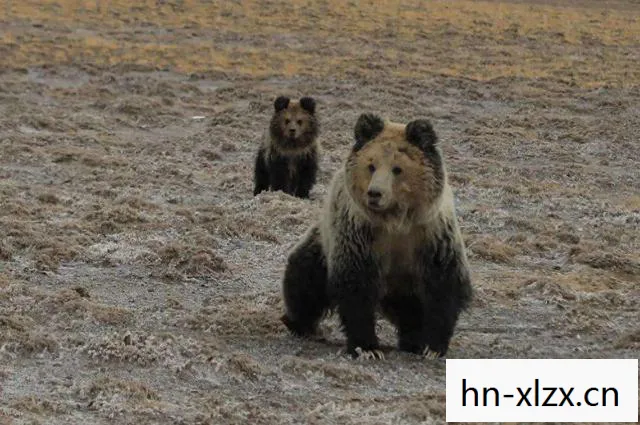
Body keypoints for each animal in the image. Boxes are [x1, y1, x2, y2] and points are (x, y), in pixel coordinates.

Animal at [280, 112, 472, 359]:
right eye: (371, 165)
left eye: (397, 168)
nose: (375, 193)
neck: (396, 221)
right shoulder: (359, 233)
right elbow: (355, 285)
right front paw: (368, 347)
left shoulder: (432, 234)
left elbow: (443, 284)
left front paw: (432, 346)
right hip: (323, 244)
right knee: (304, 279)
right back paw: (300, 324)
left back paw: (412, 339)